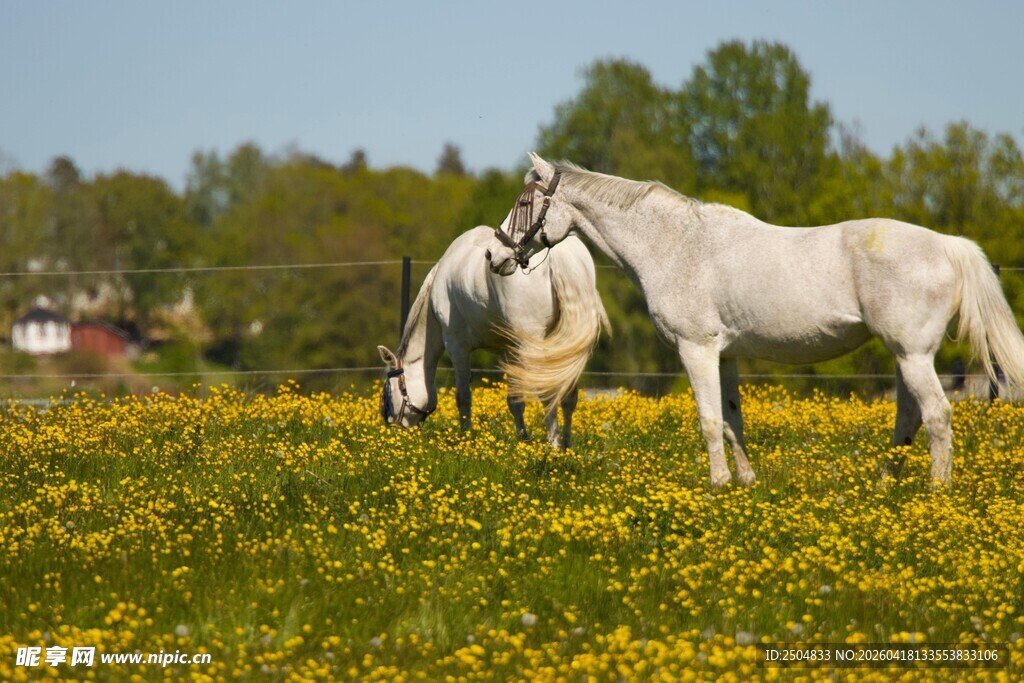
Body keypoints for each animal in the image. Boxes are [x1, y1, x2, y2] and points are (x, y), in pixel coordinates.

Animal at [378, 224, 608, 448]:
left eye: (388, 391)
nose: (391, 427)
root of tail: (557, 255)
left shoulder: (456, 345)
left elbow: (463, 397)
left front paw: (465, 438)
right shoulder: (510, 350)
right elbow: (515, 401)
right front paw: (523, 440)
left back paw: (553, 446)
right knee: (569, 396)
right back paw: (567, 446)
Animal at [485, 153, 1024, 487]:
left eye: (525, 203)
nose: (495, 254)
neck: (675, 244)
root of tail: (948, 245)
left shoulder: (697, 349)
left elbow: (708, 420)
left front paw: (718, 483)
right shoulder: (725, 356)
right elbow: (731, 420)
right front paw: (744, 481)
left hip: (913, 355)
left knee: (937, 417)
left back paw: (936, 492)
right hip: (904, 357)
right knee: (908, 417)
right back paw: (885, 486)